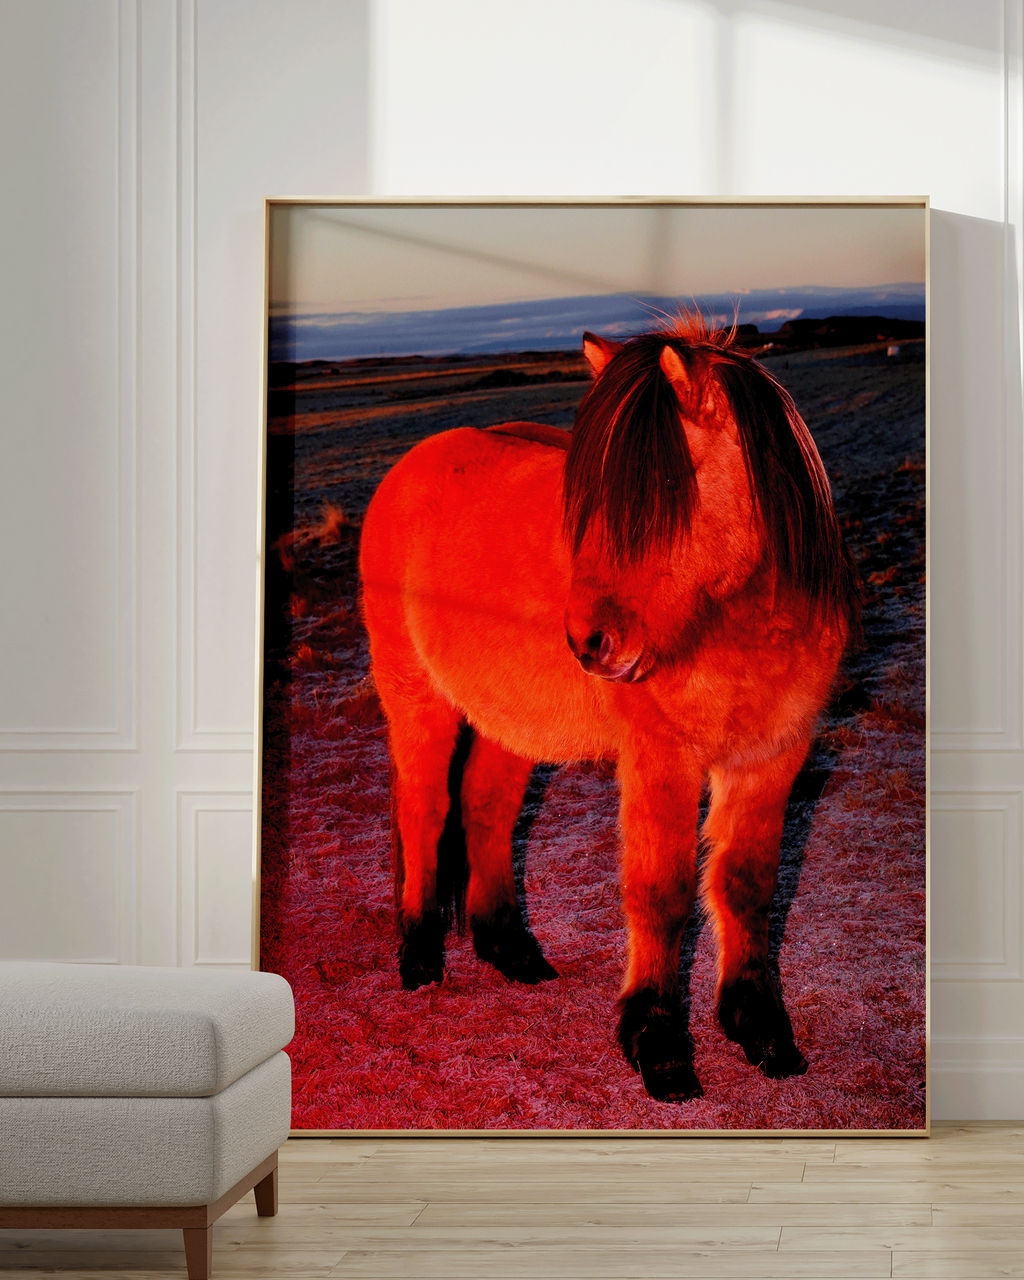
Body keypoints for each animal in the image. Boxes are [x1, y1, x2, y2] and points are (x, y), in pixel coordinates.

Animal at [358, 319, 860, 1102]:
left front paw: (761, 1030)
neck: (735, 623)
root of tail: (416, 463)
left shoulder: (774, 754)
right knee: (424, 810)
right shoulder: (663, 760)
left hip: (510, 720)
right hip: (416, 696)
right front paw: (658, 1045)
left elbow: (747, 885)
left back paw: (511, 948)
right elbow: (661, 894)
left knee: (486, 809)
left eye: (663, 488)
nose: (591, 645)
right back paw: (419, 955)